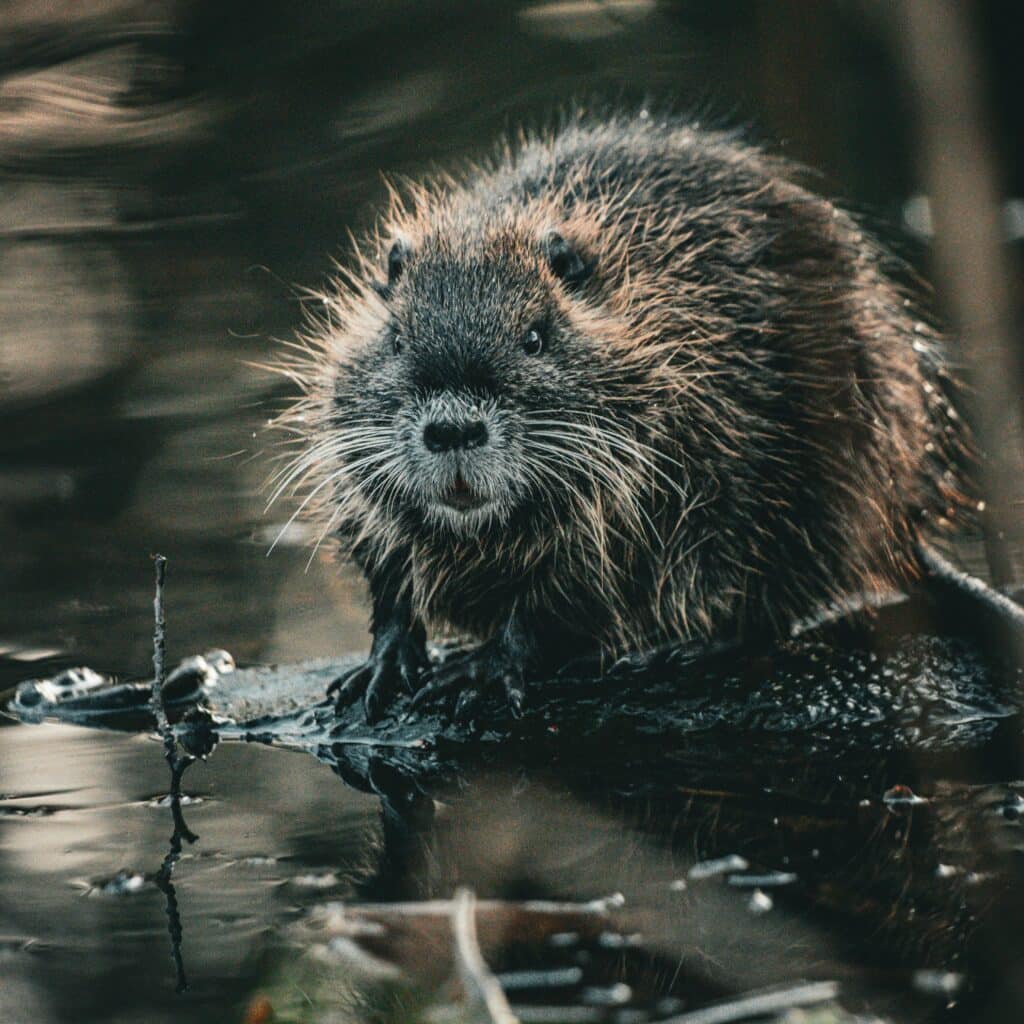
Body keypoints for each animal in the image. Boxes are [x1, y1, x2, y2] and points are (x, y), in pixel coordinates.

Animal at [270, 110, 966, 720]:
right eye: (395, 340)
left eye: (535, 337)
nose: (453, 430)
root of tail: (907, 524)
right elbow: (386, 572)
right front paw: (382, 666)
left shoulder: (662, 466)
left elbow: (565, 594)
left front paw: (482, 669)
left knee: (767, 601)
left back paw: (666, 650)